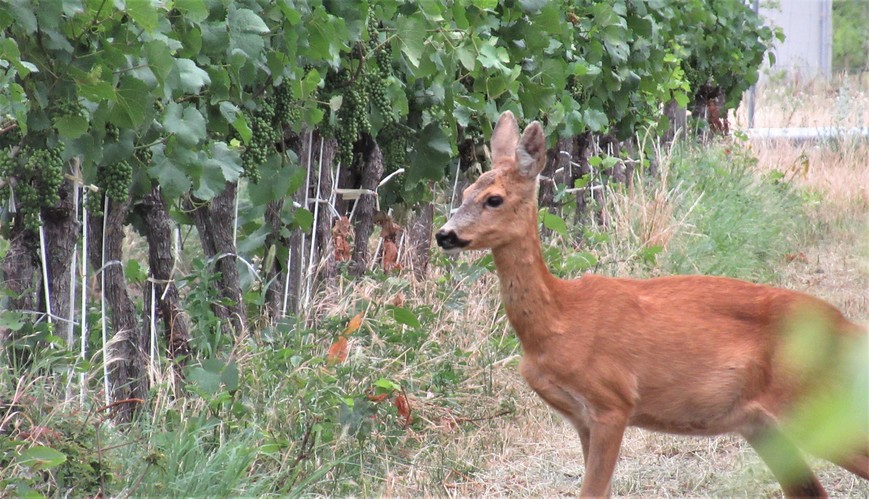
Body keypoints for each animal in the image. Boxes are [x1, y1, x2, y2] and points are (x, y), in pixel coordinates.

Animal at [438, 111, 864, 498]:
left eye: (494, 199)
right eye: (464, 194)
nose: (445, 234)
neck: (559, 321)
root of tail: (847, 329)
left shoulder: (613, 402)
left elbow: (593, 492)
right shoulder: (581, 418)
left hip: (810, 401)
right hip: (764, 424)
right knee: (809, 490)